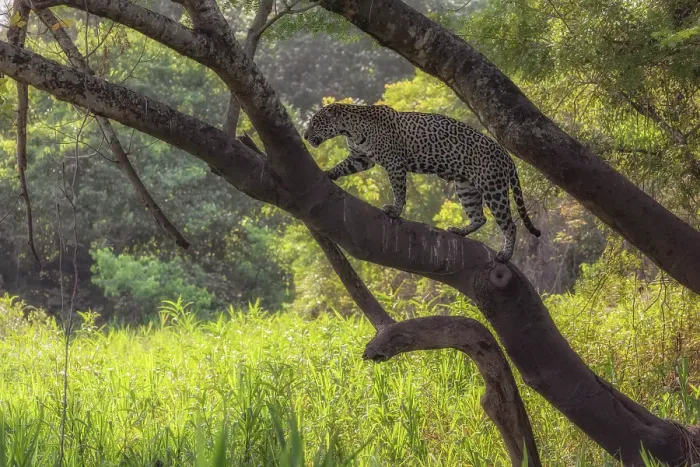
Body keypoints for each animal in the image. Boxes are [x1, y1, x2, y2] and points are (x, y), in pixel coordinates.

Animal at [303, 103, 541, 263]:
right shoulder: (360, 159)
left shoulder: (394, 163)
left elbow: (399, 190)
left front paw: (395, 210)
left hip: (493, 188)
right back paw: (460, 231)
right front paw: (328, 173)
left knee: (509, 224)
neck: (350, 129)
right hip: (466, 186)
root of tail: (507, 156)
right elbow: (343, 166)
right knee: (479, 217)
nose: (305, 136)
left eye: (315, 123)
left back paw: (505, 255)